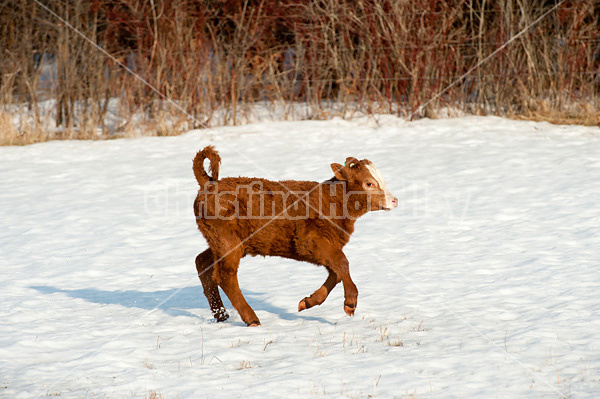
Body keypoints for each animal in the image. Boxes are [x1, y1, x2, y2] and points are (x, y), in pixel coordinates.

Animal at [193, 145, 398, 326]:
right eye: (369, 183)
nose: (394, 200)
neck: (332, 202)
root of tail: (209, 184)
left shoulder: (327, 247)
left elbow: (336, 272)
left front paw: (307, 302)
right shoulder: (310, 242)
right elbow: (342, 263)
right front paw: (350, 303)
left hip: (221, 243)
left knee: (203, 263)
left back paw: (221, 315)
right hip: (228, 242)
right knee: (225, 276)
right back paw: (251, 319)